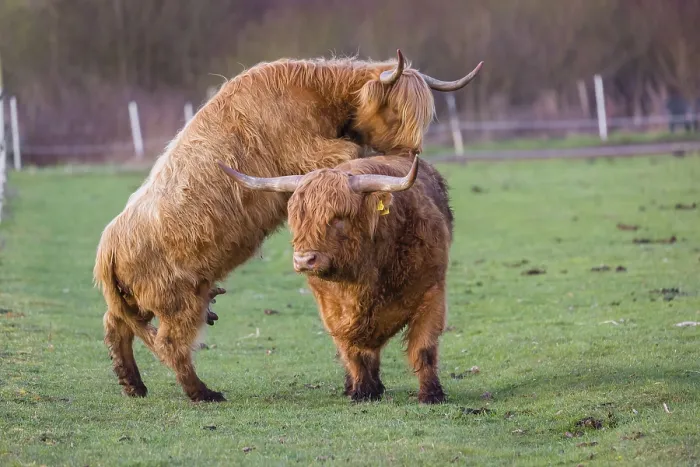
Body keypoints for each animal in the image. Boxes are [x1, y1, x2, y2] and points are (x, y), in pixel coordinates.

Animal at [218, 153, 453, 404]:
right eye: (296, 219)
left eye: (339, 218)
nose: (304, 260)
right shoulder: (332, 310)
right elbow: (351, 350)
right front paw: (363, 390)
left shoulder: (432, 293)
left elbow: (423, 348)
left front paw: (431, 394)